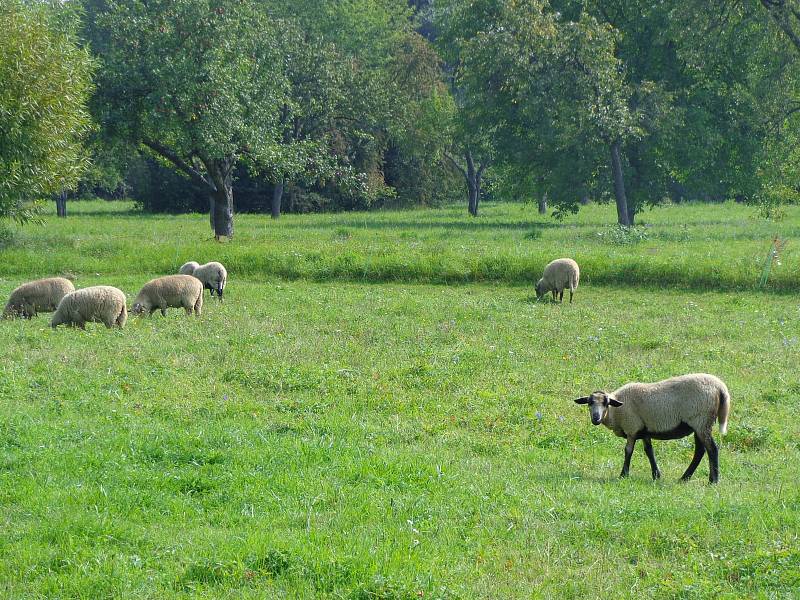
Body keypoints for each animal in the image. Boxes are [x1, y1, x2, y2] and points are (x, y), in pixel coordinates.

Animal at [576, 372, 732, 486]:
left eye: (606, 403)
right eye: (589, 403)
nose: (596, 419)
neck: (616, 411)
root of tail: (720, 387)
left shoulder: (632, 428)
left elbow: (628, 451)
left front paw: (623, 474)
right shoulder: (644, 430)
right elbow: (649, 451)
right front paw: (656, 475)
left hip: (701, 420)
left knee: (712, 449)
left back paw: (713, 481)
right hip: (699, 424)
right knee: (700, 451)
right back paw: (685, 478)